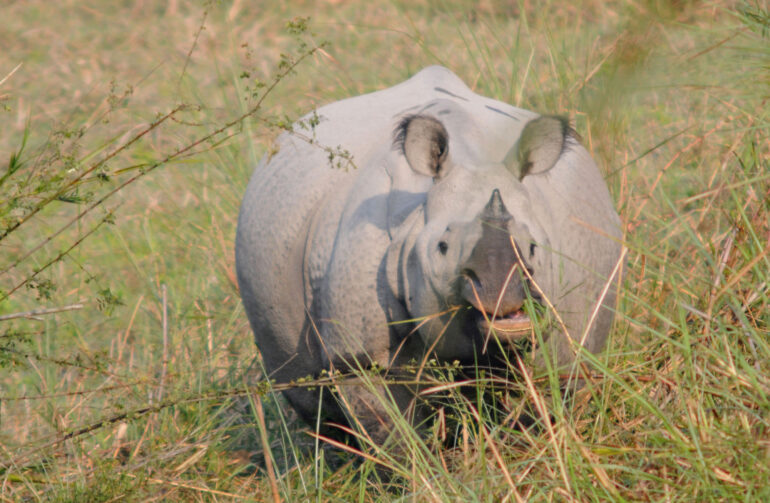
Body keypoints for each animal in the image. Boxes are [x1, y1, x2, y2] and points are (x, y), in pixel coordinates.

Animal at [236, 66, 622, 443]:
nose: (503, 294)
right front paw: (417, 463)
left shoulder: (564, 341)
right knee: (311, 399)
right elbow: (391, 430)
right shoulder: (359, 358)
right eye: (442, 248)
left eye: (533, 247)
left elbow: (538, 407)